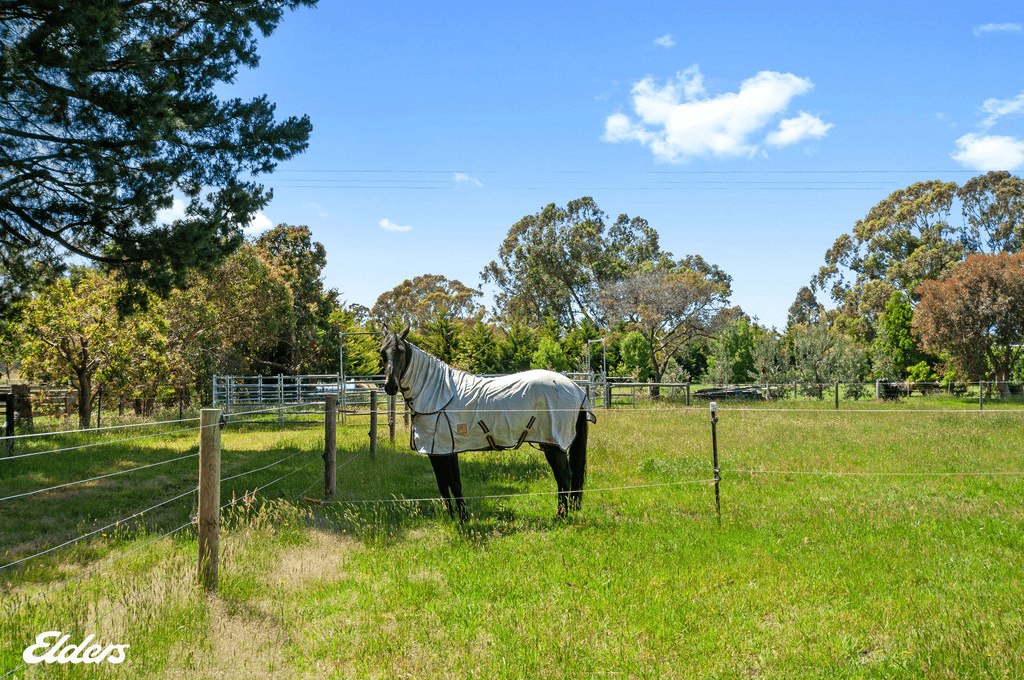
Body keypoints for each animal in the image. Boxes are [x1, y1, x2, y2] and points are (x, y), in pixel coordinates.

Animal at [380, 329, 598, 520]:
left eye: (401, 351)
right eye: (382, 352)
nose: (390, 386)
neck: (438, 394)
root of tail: (576, 388)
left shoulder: (444, 450)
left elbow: (453, 483)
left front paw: (462, 519)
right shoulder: (439, 452)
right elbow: (445, 485)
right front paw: (454, 518)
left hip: (553, 445)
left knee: (564, 476)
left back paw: (560, 516)